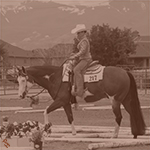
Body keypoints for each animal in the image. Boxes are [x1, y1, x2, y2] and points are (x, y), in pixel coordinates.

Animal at [16, 61, 145, 139]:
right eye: (17, 80)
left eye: (23, 80)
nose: (20, 95)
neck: (56, 77)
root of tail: (125, 71)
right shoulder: (66, 103)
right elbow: (70, 117)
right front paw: (74, 133)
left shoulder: (60, 101)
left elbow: (46, 111)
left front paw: (46, 130)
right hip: (125, 100)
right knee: (133, 112)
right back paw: (135, 134)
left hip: (115, 101)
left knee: (119, 116)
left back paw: (114, 135)